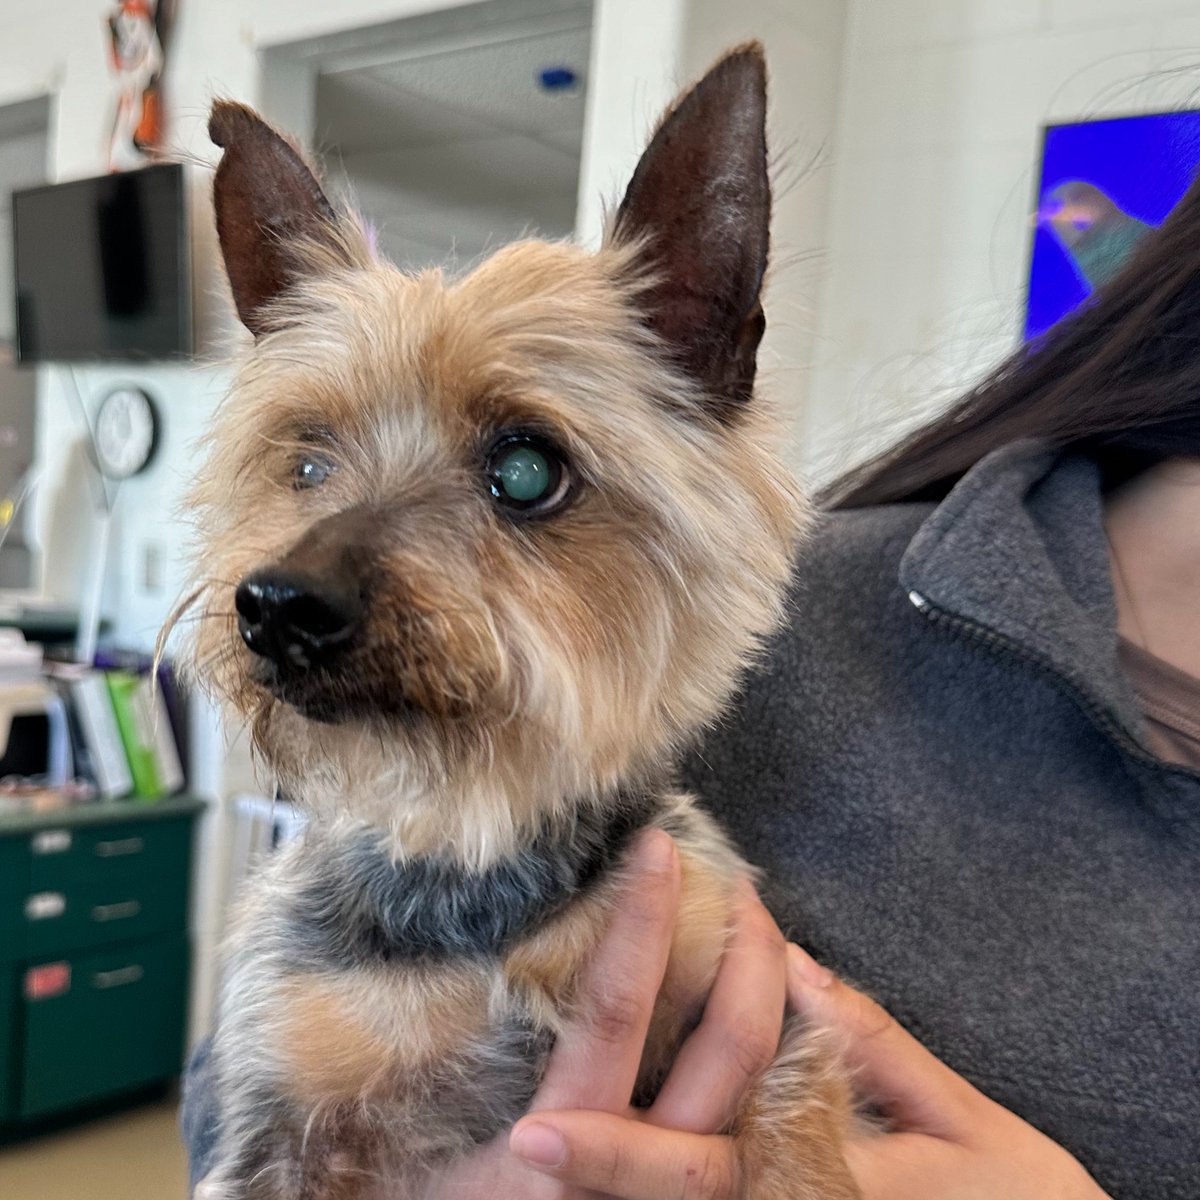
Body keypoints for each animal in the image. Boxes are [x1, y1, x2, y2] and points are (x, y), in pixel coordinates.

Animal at [182, 42, 864, 1195]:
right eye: (307, 461)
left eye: (527, 469)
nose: (277, 605)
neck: (472, 860)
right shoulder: (278, 1108)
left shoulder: (759, 996)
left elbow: (798, 1128)